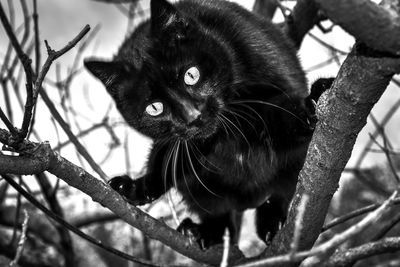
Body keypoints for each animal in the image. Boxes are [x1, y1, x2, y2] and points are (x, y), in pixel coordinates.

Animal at [85, 0, 332, 249]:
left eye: (191, 74)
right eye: (154, 108)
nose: (193, 115)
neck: (226, 135)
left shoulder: (271, 98)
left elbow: (286, 116)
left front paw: (313, 101)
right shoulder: (178, 144)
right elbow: (163, 163)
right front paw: (135, 187)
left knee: (281, 192)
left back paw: (272, 224)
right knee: (216, 211)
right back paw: (203, 232)